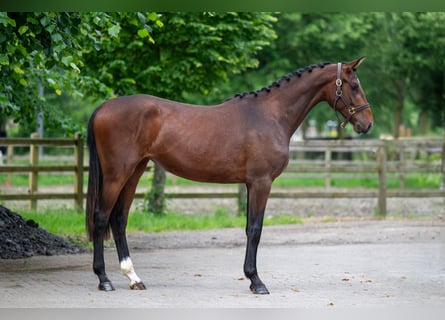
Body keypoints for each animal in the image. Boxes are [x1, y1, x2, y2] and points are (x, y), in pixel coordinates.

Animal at [85, 57, 372, 292]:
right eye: (354, 85)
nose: (368, 123)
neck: (270, 115)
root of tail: (103, 108)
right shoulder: (261, 182)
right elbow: (255, 229)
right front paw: (256, 281)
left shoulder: (250, 184)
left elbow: (248, 227)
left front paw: (251, 278)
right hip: (116, 174)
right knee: (101, 217)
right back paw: (104, 279)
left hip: (135, 171)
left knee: (119, 220)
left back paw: (133, 277)